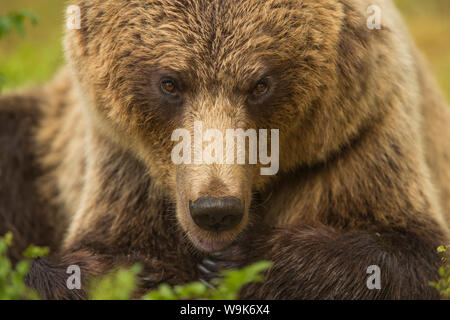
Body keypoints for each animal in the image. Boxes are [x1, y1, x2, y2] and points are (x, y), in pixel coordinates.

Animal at [0, 0, 450, 300]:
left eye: (260, 84)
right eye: (169, 82)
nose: (215, 209)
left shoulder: (360, 137)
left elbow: (415, 255)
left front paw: (239, 261)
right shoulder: (122, 162)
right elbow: (115, 251)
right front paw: (133, 271)